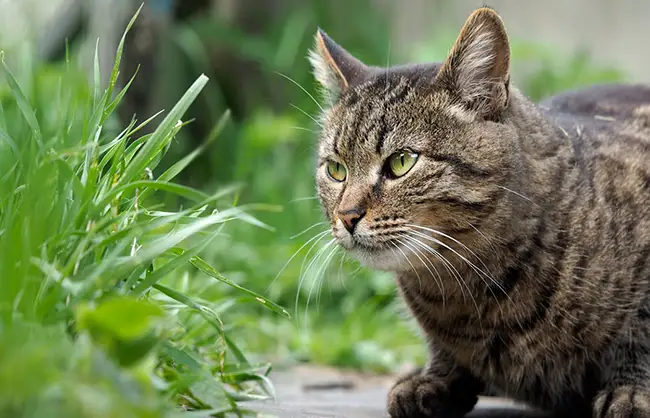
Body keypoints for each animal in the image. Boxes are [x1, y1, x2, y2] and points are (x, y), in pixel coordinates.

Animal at [306, 5, 648, 418]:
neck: (469, 291)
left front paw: (631, 392)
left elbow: (639, 337)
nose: (347, 216)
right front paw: (436, 377)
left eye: (402, 162)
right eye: (335, 169)